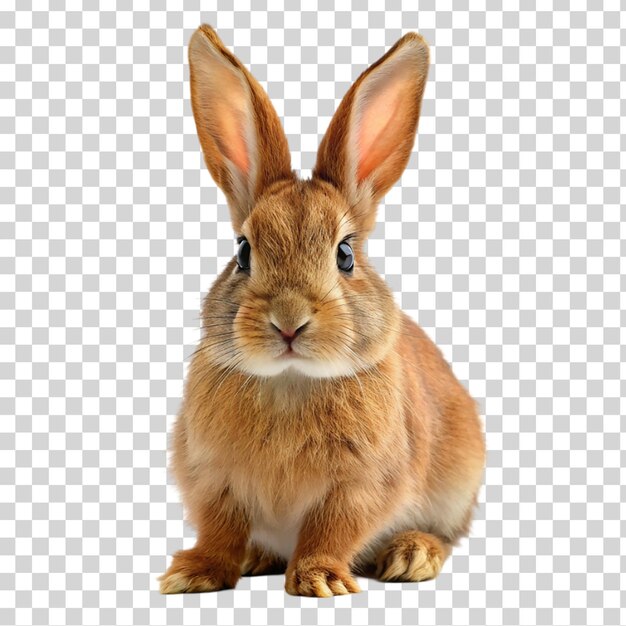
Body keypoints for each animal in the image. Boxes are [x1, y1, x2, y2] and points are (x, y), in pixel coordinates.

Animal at [158, 26, 486, 596]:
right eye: (243, 252)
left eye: (345, 255)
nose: (289, 321)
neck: (291, 381)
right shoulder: (212, 478)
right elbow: (219, 529)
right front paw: (193, 573)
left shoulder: (361, 484)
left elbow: (332, 528)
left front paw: (320, 580)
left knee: (445, 536)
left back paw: (412, 555)